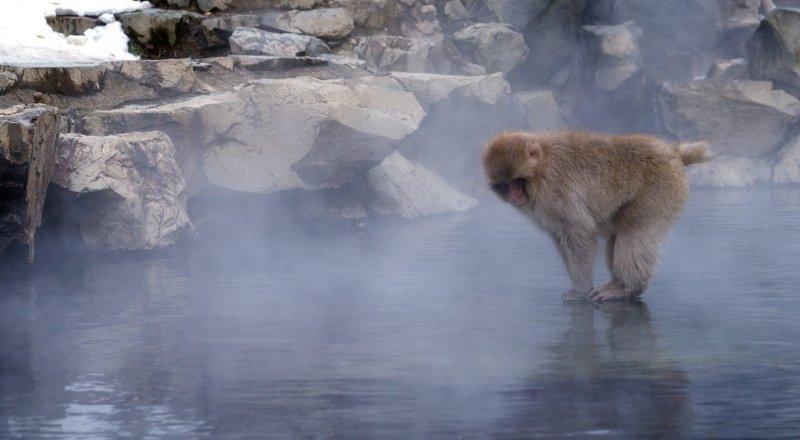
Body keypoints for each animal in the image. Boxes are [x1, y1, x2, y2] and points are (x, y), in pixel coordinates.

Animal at [484, 131, 708, 302]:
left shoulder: (555, 191)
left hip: (659, 192)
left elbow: (580, 232)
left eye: (517, 182)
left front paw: (581, 289)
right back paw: (618, 282)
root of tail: (674, 153)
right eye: (506, 185)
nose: (514, 195)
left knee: (633, 232)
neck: (540, 168)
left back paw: (628, 288)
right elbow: (562, 237)